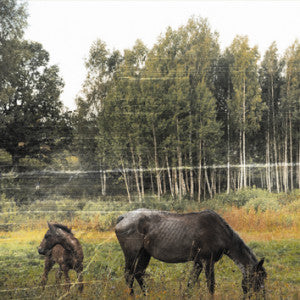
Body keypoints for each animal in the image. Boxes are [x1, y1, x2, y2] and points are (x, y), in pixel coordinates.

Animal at [115, 209, 268, 298]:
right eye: (258, 278)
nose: (262, 296)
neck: (220, 233)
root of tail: (123, 217)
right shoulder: (207, 261)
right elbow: (210, 285)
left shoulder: (198, 262)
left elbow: (190, 283)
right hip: (132, 253)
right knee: (129, 275)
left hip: (144, 254)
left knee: (138, 273)